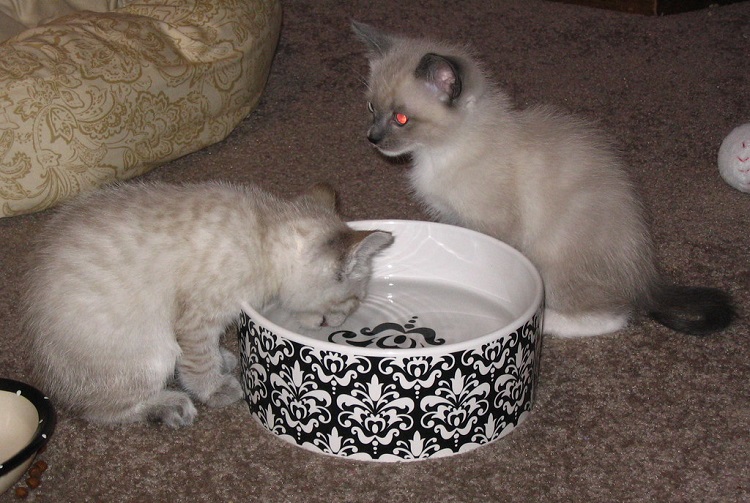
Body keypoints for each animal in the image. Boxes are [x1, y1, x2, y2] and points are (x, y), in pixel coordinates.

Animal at [23, 181, 394, 426]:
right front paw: (214, 388)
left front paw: (223, 360)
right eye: (354, 300)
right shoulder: (197, 318)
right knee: (100, 412)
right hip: (151, 352)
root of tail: (49, 378)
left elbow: (207, 353)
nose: (344, 321)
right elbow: (198, 361)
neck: (265, 236)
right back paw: (170, 406)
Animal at [352, 22, 736, 338]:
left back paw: (546, 322)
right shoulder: (454, 219)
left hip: (553, 255)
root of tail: (647, 276)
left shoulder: (493, 225)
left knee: (612, 316)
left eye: (401, 119)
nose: (373, 138)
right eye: (371, 108)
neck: (440, 151)